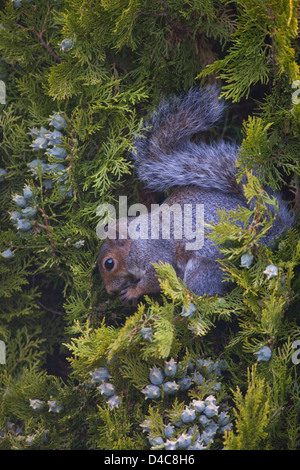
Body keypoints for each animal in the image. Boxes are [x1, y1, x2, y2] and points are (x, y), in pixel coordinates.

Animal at [98, 86, 292, 304]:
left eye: (109, 263)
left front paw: (133, 291)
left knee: (198, 288)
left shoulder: (156, 256)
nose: (109, 291)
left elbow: (155, 279)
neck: (136, 243)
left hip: (204, 267)